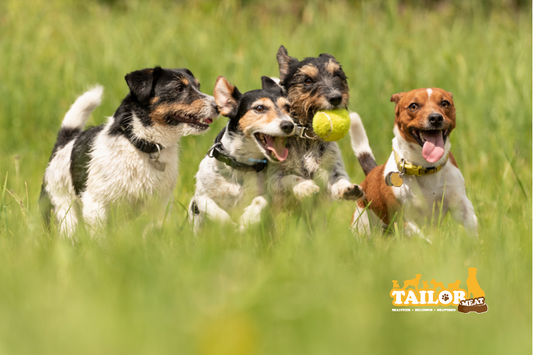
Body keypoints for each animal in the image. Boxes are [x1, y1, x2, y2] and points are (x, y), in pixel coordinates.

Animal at [39, 68, 218, 238]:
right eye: (178, 88)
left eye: (198, 86)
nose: (217, 106)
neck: (140, 145)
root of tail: (63, 145)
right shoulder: (96, 203)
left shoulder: (158, 205)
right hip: (64, 211)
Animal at [188, 76, 296, 232]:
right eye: (259, 108)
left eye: (287, 107)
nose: (289, 125)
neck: (241, 164)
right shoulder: (200, 198)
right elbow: (211, 206)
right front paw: (228, 225)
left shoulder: (269, 193)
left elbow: (261, 200)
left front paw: (247, 219)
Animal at [268, 46, 364, 207]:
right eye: (308, 80)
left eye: (337, 75)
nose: (336, 98)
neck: (307, 139)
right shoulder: (274, 179)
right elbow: (290, 178)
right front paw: (305, 186)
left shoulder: (332, 169)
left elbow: (339, 180)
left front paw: (348, 188)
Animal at [350, 88, 478, 239]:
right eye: (413, 106)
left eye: (445, 103)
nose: (436, 118)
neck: (426, 167)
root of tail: (371, 172)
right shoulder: (403, 219)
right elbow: (423, 239)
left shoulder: (460, 203)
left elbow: (471, 223)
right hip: (362, 224)